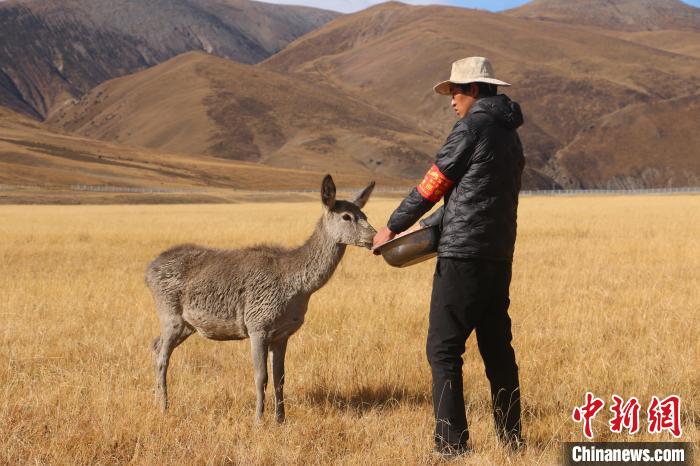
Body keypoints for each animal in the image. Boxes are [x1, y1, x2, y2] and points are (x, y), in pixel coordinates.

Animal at [144, 175, 378, 422]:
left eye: (365, 214)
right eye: (346, 216)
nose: (374, 237)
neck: (298, 288)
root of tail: (147, 272)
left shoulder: (282, 334)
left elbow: (280, 378)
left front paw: (281, 419)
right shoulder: (257, 324)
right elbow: (261, 376)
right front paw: (258, 420)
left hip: (187, 325)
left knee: (155, 344)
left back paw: (156, 400)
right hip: (169, 313)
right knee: (162, 356)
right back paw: (164, 407)